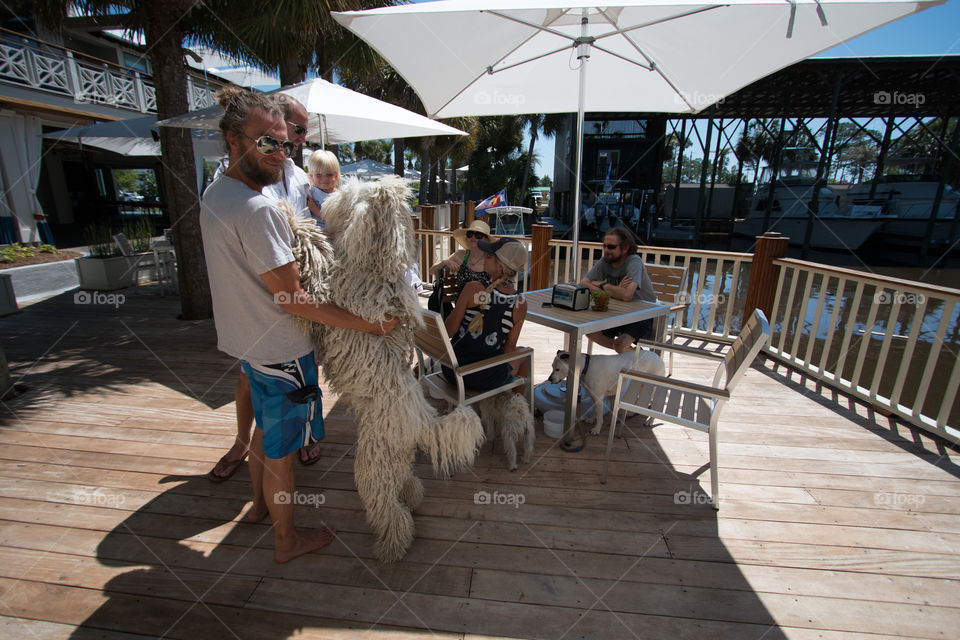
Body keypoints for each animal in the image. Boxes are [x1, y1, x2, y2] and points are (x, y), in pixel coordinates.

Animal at [282, 178, 484, 564]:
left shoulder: (329, 295)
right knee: (403, 482)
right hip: (395, 455)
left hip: (374, 461)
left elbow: (316, 260)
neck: (375, 268)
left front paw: (291, 218)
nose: (326, 195)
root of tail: (421, 421)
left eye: (350, 197)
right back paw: (412, 498)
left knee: (386, 507)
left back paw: (392, 546)